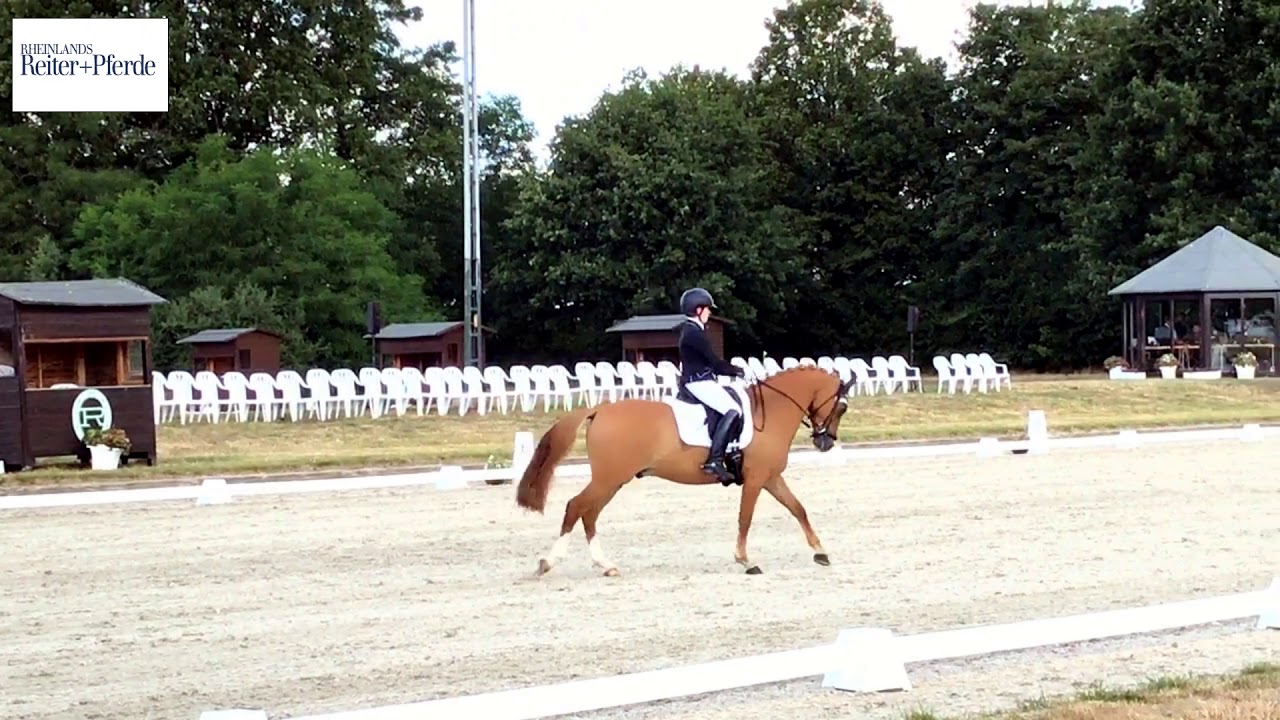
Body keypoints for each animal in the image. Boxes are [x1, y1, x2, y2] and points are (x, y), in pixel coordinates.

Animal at [515, 366, 854, 577]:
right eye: (841, 407)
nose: (825, 442)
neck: (768, 412)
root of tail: (599, 410)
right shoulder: (756, 479)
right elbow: (745, 518)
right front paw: (745, 561)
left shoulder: (770, 477)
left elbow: (798, 508)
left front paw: (821, 552)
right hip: (608, 478)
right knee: (577, 507)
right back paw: (548, 563)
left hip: (612, 481)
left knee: (589, 514)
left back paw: (606, 565)